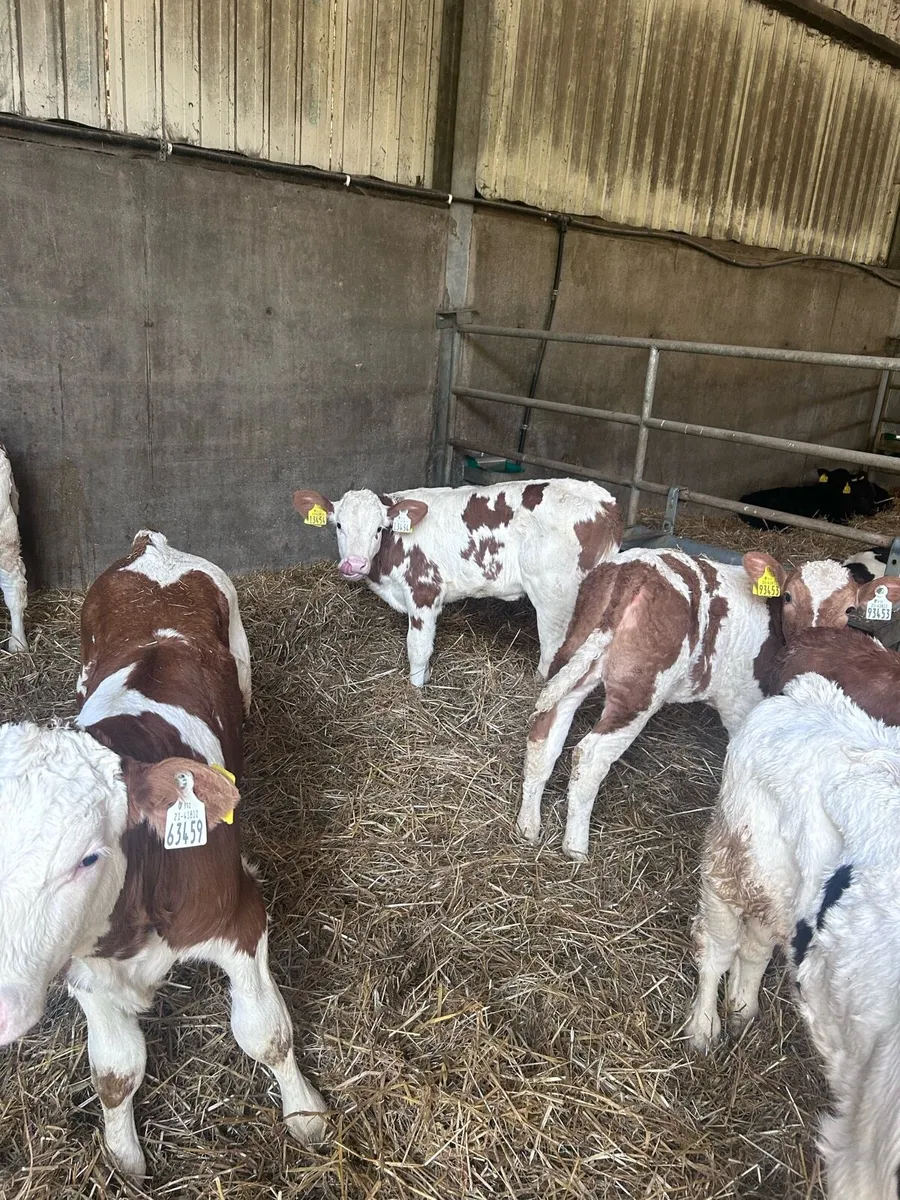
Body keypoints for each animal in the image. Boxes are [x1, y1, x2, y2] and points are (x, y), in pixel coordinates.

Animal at [0, 531, 327, 1176]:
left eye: (88, 857)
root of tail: (150, 545)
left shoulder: (241, 915)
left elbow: (266, 1032)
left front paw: (306, 1114)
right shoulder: (83, 967)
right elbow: (115, 1070)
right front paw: (124, 1158)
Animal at [292, 480, 622, 686]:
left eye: (379, 528)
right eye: (339, 525)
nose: (355, 564)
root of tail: (603, 501)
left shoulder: (424, 592)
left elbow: (418, 648)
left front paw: (416, 690)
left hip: (555, 596)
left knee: (555, 650)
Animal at [518, 549, 900, 860]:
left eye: (850, 609)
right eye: (789, 596)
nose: (815, 640)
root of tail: (637, 570)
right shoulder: (743, 705)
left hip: (574, 655)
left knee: (545, 730)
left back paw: (528, 826)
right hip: (639, 691)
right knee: (590, 755)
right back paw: (576, 847)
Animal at [686, 672, 900, 1199]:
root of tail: (805, 692)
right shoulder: (862, 1155)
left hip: (778, 894)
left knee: (754, 950)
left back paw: (743, 1011)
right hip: (731, 866)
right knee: (716, 951)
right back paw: (705, 1029)